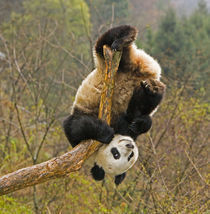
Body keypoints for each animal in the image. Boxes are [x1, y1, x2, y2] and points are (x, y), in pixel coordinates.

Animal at [64, 25, 166, 185]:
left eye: (129, 157)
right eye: (116, 154)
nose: (130, 145)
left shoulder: (126, 127)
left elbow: (138, 119)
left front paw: (139, 124)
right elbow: (77, 126)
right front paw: (106, 133)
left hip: (119, 64)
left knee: (110, 38)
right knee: (104, 43)